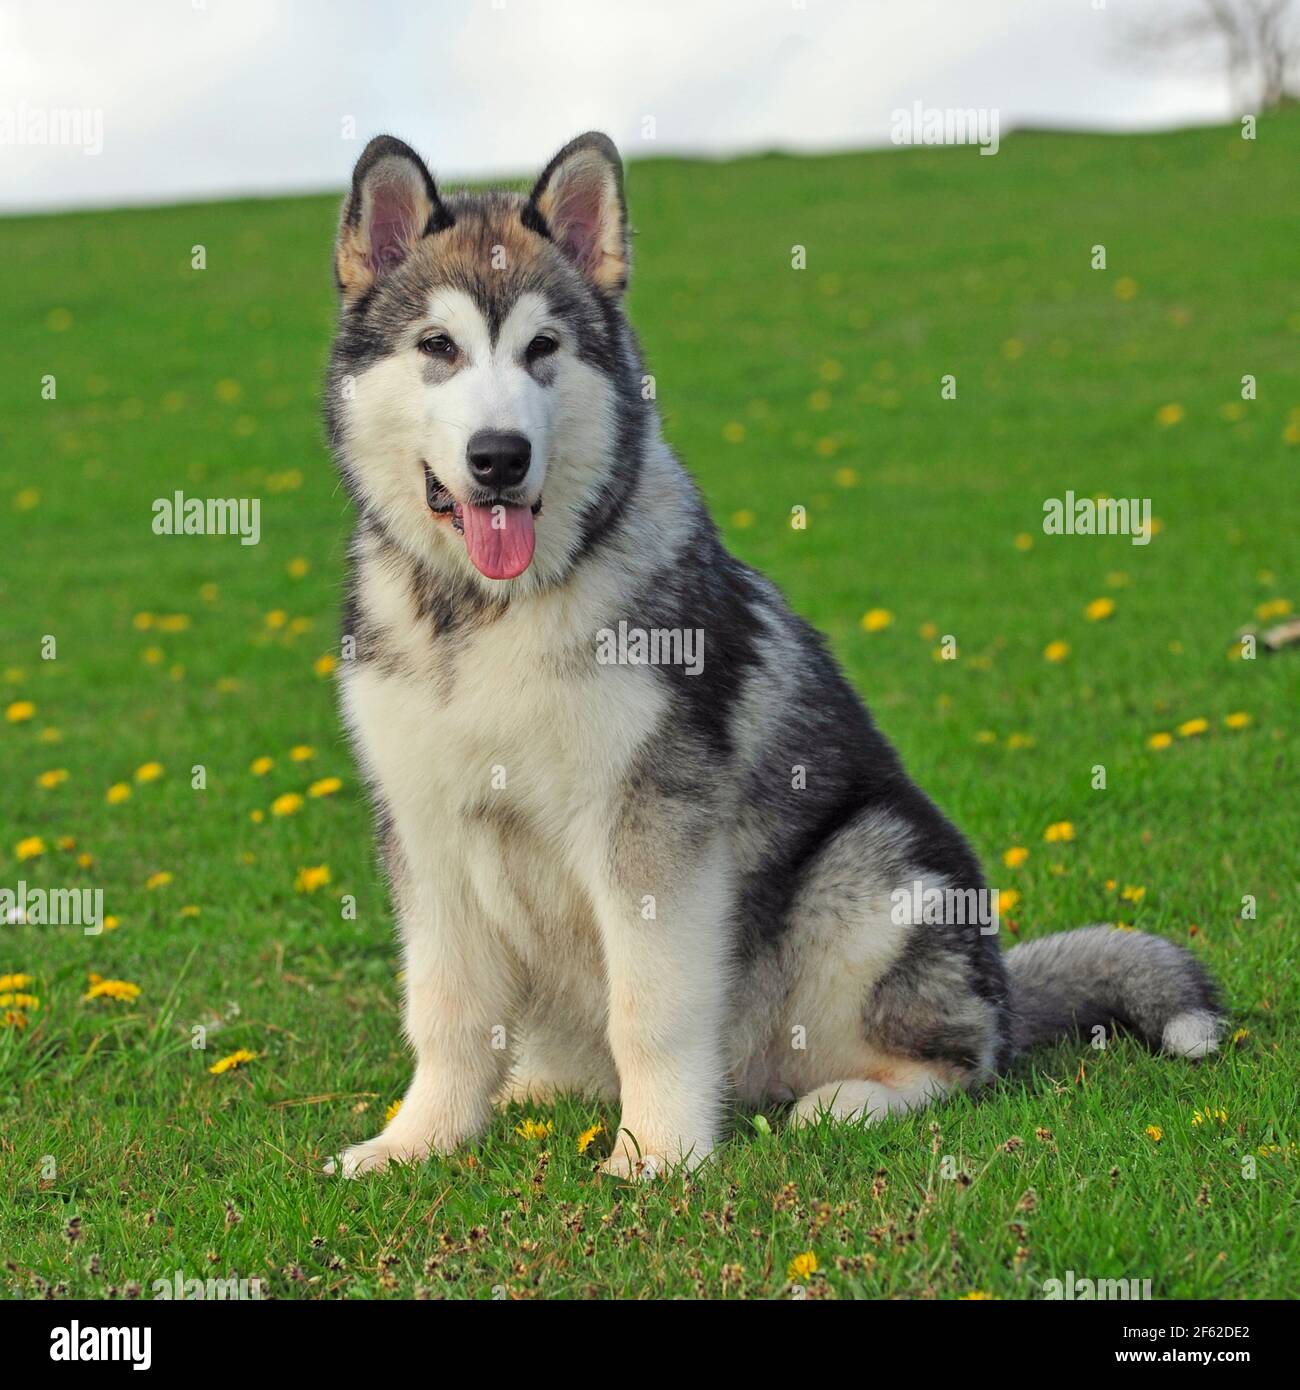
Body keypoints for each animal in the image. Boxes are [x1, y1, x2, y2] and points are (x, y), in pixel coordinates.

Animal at [319, 130, 1223, 1178]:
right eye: (438, 347)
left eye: (543, 349)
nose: (500, 457)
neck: (484, 612)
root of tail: (1002, 985)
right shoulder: (427, 829)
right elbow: (446, 1014)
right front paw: (416, 1143)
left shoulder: (649, 823)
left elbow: (652, 1011)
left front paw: (655, 1156)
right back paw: (537, 1090)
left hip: (869, 876)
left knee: (963, 1061)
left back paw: (851, 1100)